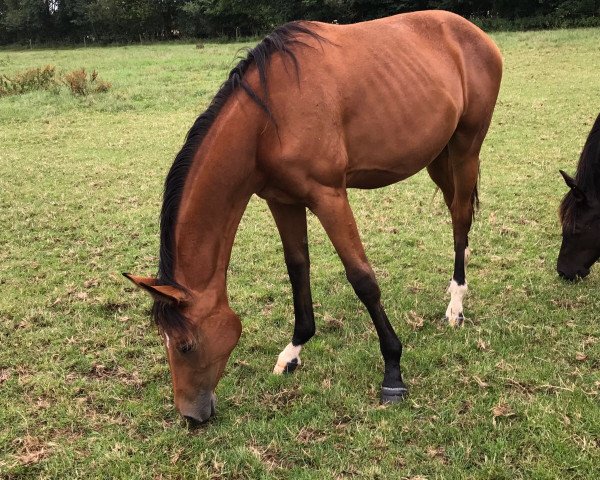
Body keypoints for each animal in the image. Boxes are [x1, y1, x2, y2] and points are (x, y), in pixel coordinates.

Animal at [124, 10, 504, 424]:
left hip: (466, 149)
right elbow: (297, 268)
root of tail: (473, 33)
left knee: (460, 217)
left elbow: (362, 279)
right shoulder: (282, 201)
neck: (267, 121)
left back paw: (456, 304)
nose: (191, 416)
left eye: (186, 345)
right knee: (456, 213)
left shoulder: (329, 196)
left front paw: (392, 371)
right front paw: (293, 351)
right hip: (439, 155)